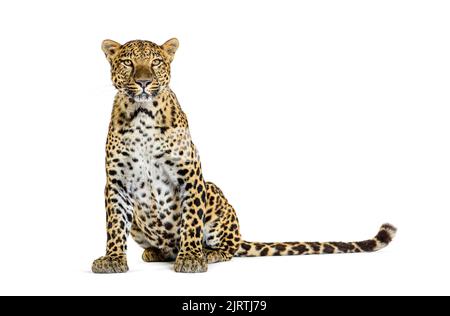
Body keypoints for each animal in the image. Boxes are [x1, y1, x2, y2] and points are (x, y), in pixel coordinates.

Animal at [91, 38, 398, 272]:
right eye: (128, 63)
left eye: (155, 62)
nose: (144, 81)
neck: (142, 115)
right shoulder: (116, 182)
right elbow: (114, 225)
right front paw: (113, 259)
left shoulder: (189, 175)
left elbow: (191, 221)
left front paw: (191, 258)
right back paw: (155, 253)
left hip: (214, 194)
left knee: (227, 247)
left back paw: (207, 253)